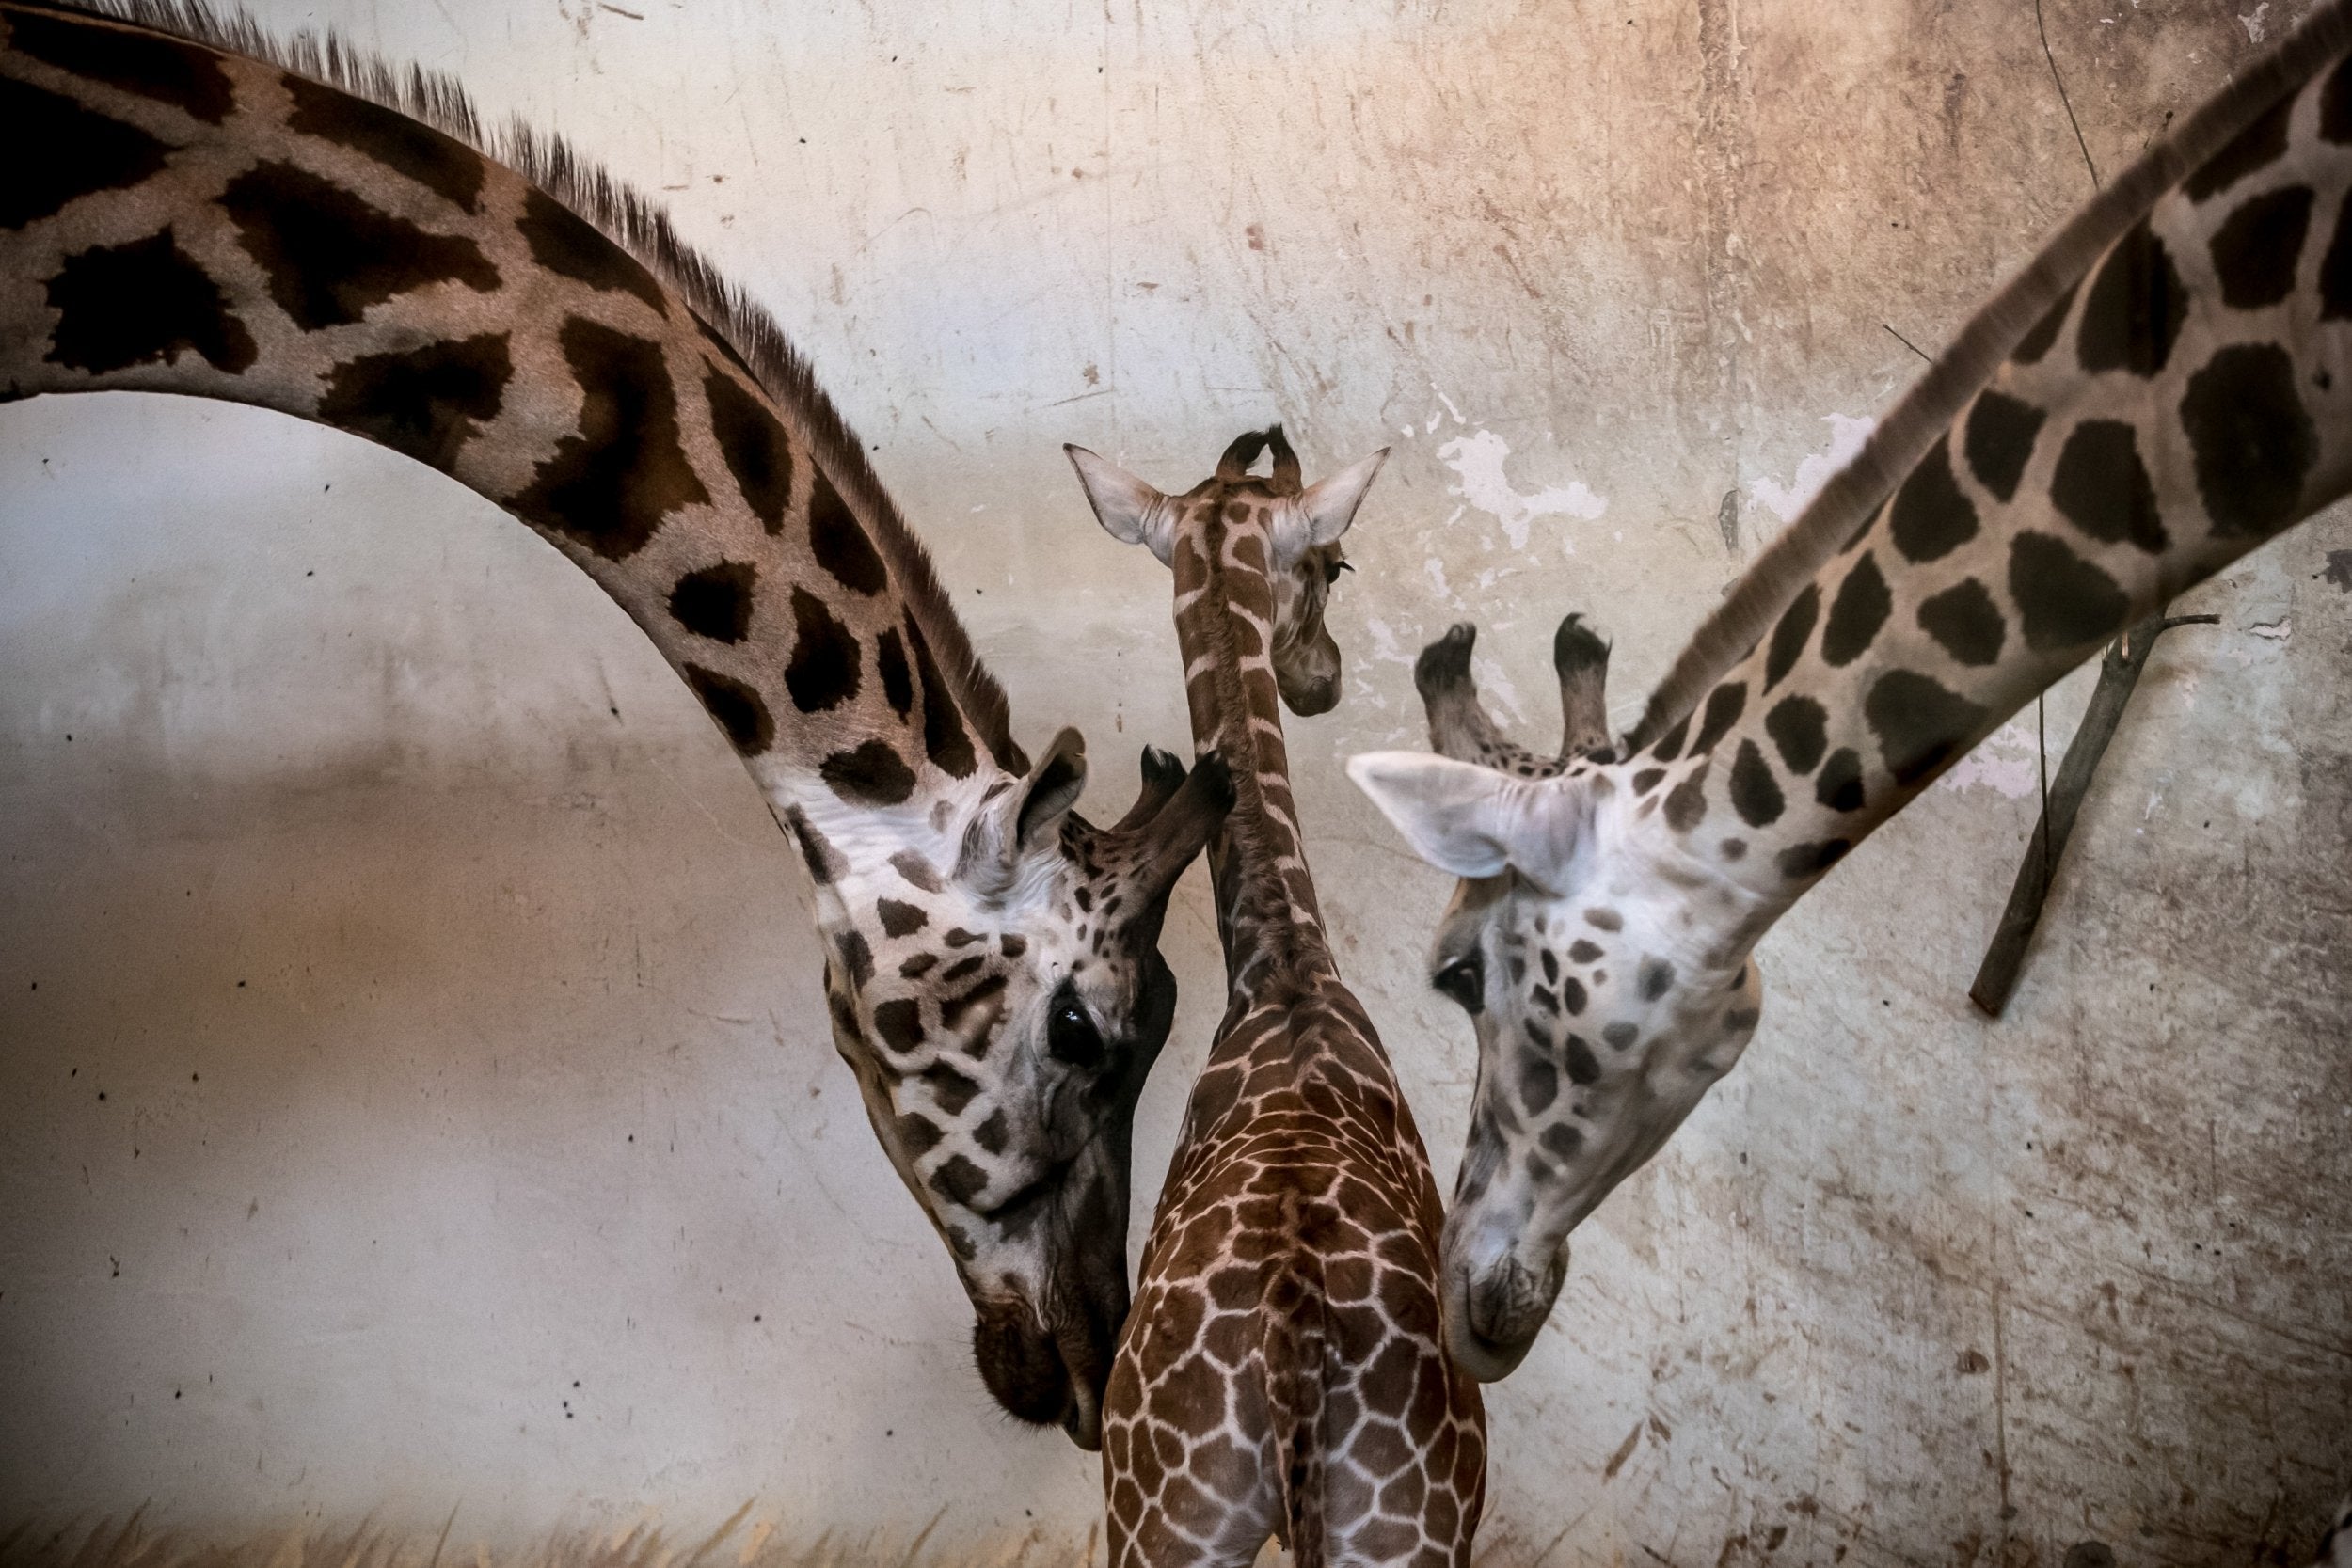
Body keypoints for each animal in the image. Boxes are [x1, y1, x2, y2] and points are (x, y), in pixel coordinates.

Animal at [1067, 428, 1486, 1568]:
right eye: (1333, 562)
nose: (1322, 683)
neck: (1285, 967)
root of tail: (1292, 1351)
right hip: (1393, 1532)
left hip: (1173, 1529)